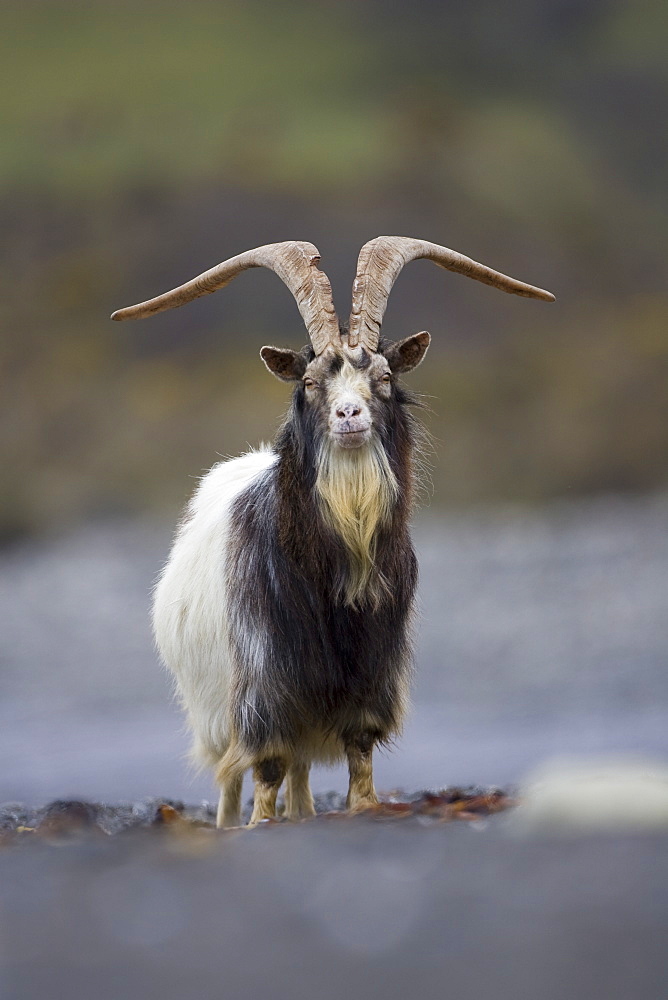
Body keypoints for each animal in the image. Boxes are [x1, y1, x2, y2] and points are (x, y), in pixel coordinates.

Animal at [113, 236, 552, 828]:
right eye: (309, 382)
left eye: (384, 378)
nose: (349, 414)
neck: (334, 569)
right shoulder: (264, 685)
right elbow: (266, 765)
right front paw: (261, 824)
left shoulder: (370, 673)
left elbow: (358, 753)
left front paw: (362, 807)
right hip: (214, 710)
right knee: (234, 774)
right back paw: (232, 823)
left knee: (299, 769)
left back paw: (302, 813)